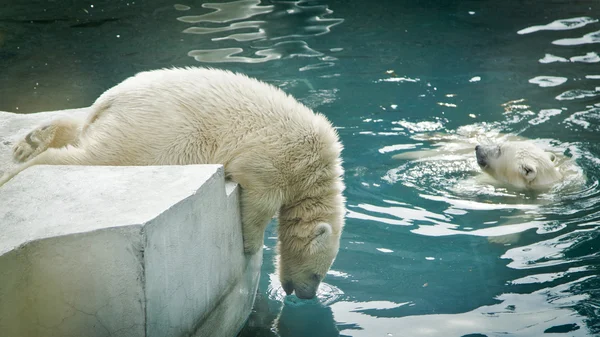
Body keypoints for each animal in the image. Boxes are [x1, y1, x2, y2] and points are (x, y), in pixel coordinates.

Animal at [0, 67, 346, 298]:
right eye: (317, 274)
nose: (306, 294)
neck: (316, 170)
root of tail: (110, 98)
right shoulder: (275, 158)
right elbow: (259, 201)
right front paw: (250, 245)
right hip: (154, 133)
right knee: (99, 155)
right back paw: (22, 166)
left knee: (82, 131)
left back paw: (31, 141)